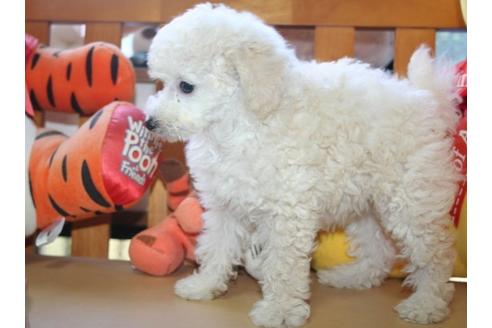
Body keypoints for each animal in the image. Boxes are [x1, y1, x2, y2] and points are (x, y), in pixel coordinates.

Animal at [145, 3, 462, 328]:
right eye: (162, 83)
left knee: (436, 255)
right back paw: (353, 276)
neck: (238, 122)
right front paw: (205, 285)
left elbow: (282, 265)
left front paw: (280, 310)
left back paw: (427, 303)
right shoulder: (225, 203)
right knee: (379, 248)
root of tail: (427, 102)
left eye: (186, 87)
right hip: (366, 203)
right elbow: (217, 245)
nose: (149, 122)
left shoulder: (287, 211)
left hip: (411, 202)